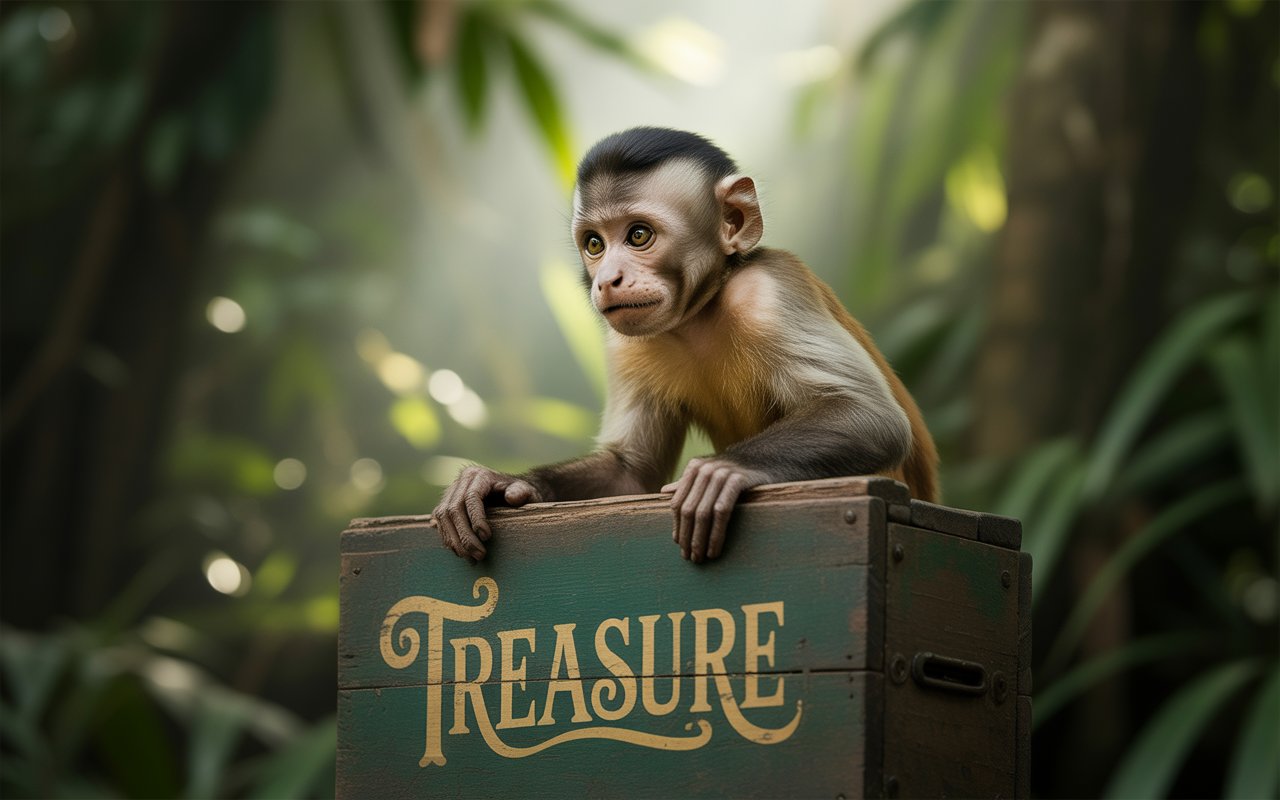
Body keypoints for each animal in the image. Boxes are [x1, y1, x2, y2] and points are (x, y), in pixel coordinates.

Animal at [431, 127, 938, 564]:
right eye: (594, 244)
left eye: (638, 235)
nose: (607, 280)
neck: (701, 313)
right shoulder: (626, 343)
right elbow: (630, 472)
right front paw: (502, 483)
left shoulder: (768, 292)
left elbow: (873, 418)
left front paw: (724, 471)